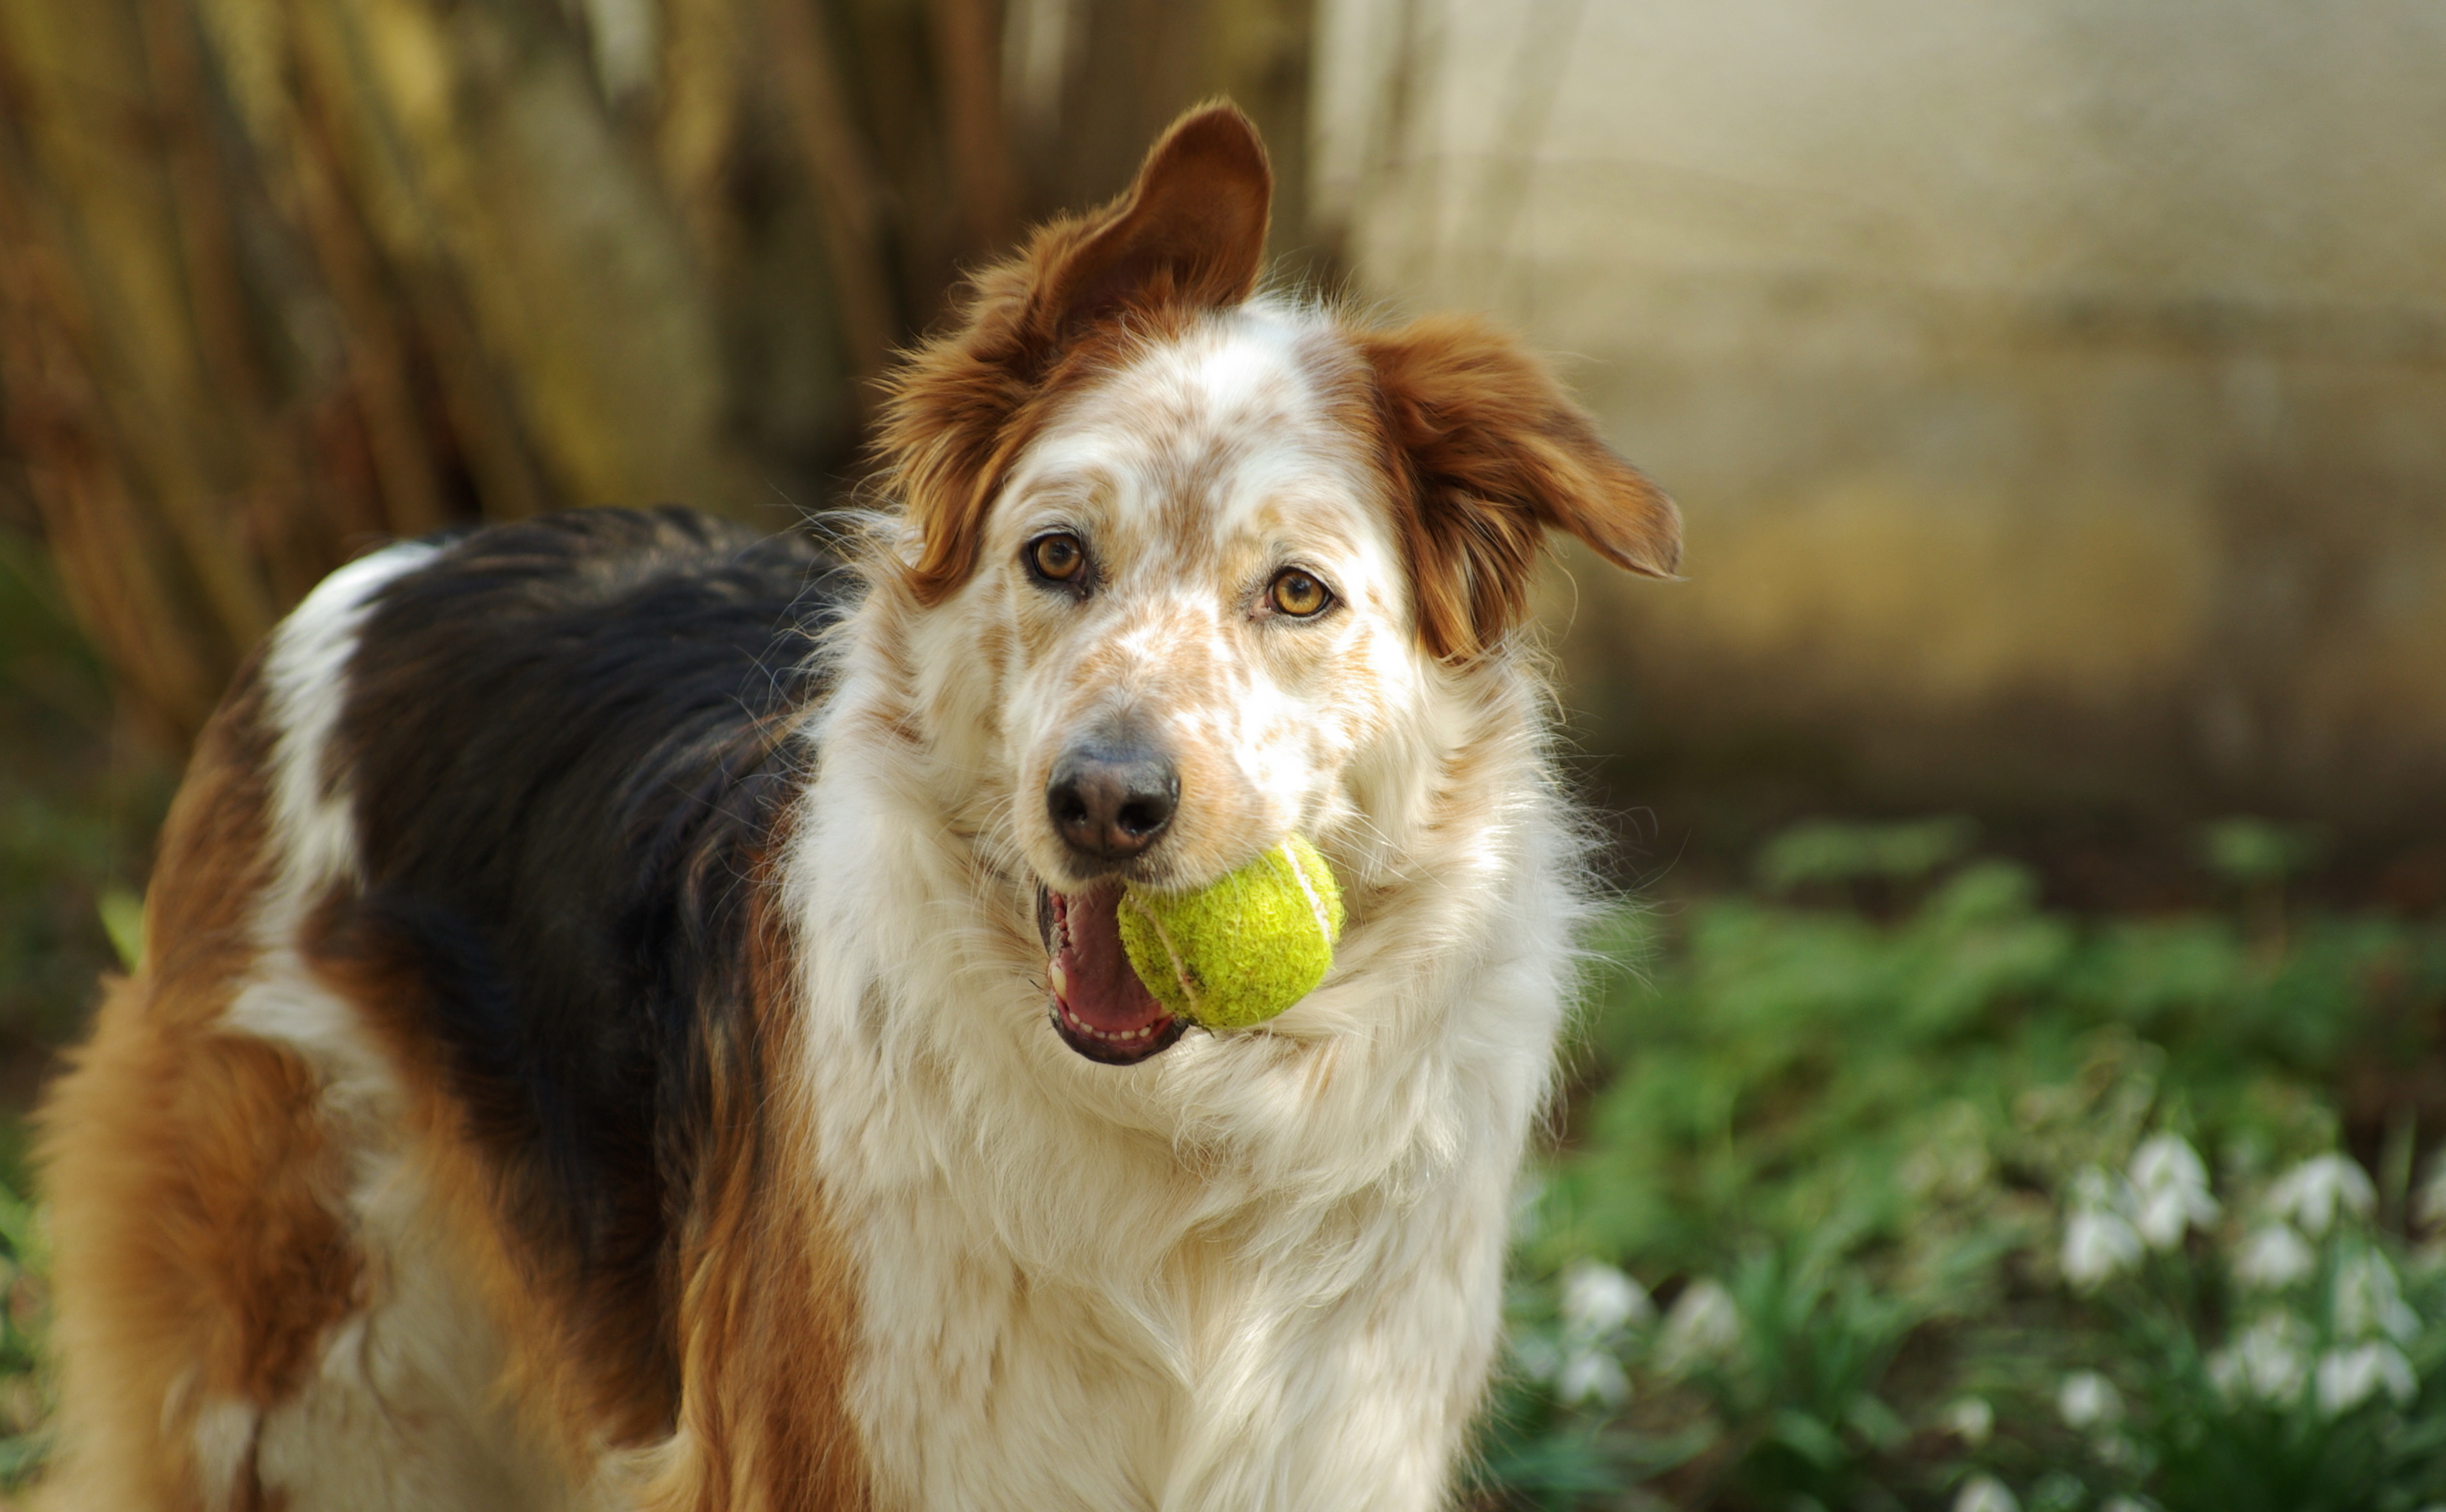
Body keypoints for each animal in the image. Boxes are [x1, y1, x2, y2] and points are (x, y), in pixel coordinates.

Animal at [38, 102, 1683, 1507]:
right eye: (1056, 556)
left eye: (1296, 595)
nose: (1105, 804)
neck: (1185, 1139)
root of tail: (398, 562)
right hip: (312, 1388)